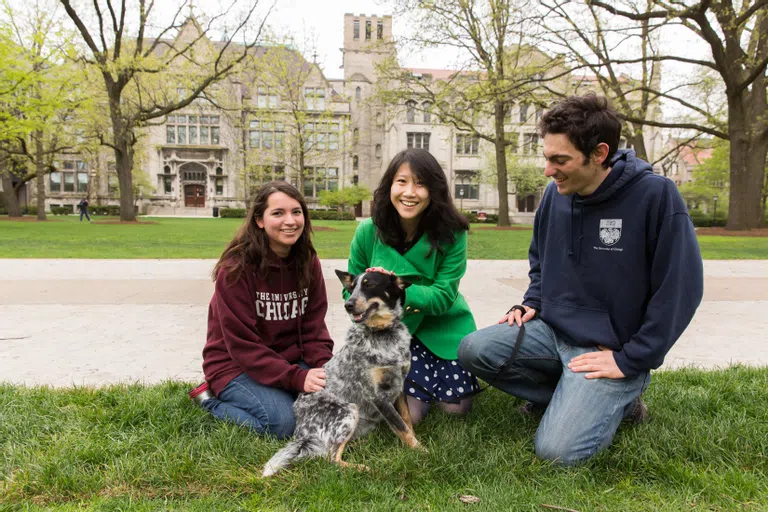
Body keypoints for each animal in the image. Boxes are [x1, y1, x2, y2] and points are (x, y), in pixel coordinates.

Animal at [260, 270, 424, 478]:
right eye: (351, 288)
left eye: (369, 285)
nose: (348, 305)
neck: (383, 334)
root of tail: (301, 431)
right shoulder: (377, 396)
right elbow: (401, 427)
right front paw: (422, 452)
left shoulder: (399, 385)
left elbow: (407, 421)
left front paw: (415, 445)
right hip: (348, 410)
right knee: (332, 459)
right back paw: (366, 468)